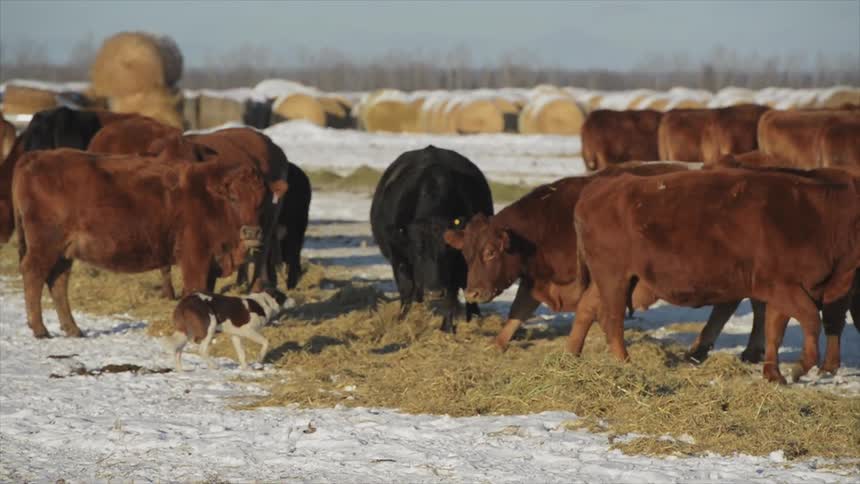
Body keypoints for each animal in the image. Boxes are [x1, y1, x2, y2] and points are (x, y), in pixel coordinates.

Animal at [12, 146, 269, 339]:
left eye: (261, 201)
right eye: (233, 198)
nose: (252, 231)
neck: (210, 198)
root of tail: (35, 156)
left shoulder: (213, 261)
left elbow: (209, 294)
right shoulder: (195, 258)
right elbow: (196, 290)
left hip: (64, 251)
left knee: (58, 281)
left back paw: (72, 329)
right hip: (45, 245)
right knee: (33, 274)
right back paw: (40, 329)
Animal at [371, 145, 494, 333]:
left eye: (449, 249)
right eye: (416, 250)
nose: (434, 292)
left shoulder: (460, 264)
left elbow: (452, 294)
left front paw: (448, 328)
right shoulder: (399, 258)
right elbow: (406, 290)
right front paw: (403, 321)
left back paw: (474, 318)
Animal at [570, 168, 860, 383]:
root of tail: (601, 187)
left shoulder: (785, 290)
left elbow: (775, 330)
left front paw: (774, 374)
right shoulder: (783, 286)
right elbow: (810, 319)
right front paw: (799, 367)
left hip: (613, 279)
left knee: (587, 309)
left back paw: (572, 354)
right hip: (614, 278)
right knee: (612, 320)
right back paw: (625, 363)